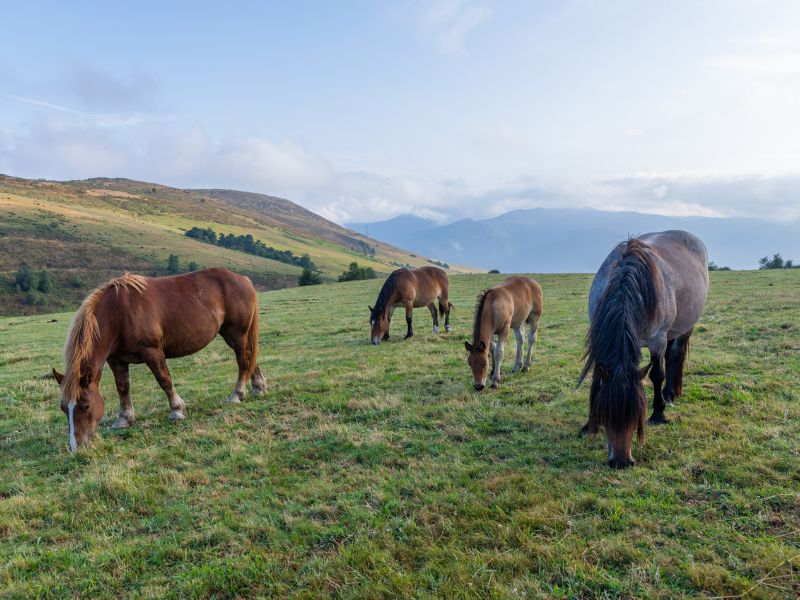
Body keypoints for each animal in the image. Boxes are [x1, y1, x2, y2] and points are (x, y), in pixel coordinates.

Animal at [51, 268, 268, 450]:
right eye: (63, 408)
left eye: (85, 406)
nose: (76, 446)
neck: (118, 314)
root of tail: (243, 279)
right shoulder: (117, 361)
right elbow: (123, 388)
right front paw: (124, 419)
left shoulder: (152, 352)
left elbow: (164, 380)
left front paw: (176, 410)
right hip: (232, 335)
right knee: (250, 358)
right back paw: (258, 387)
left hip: (236, 333)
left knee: (243, 361)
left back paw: (237, 394)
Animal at [580, 230, 708, 468]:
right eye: (607, 413)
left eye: (637, 413)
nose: (621, 462)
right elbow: (596, 379)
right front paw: (588, 425)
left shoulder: (657, 339)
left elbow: (657, 374)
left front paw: (658, 414)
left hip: (684, 327)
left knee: (675, 356)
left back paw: (669, 395)